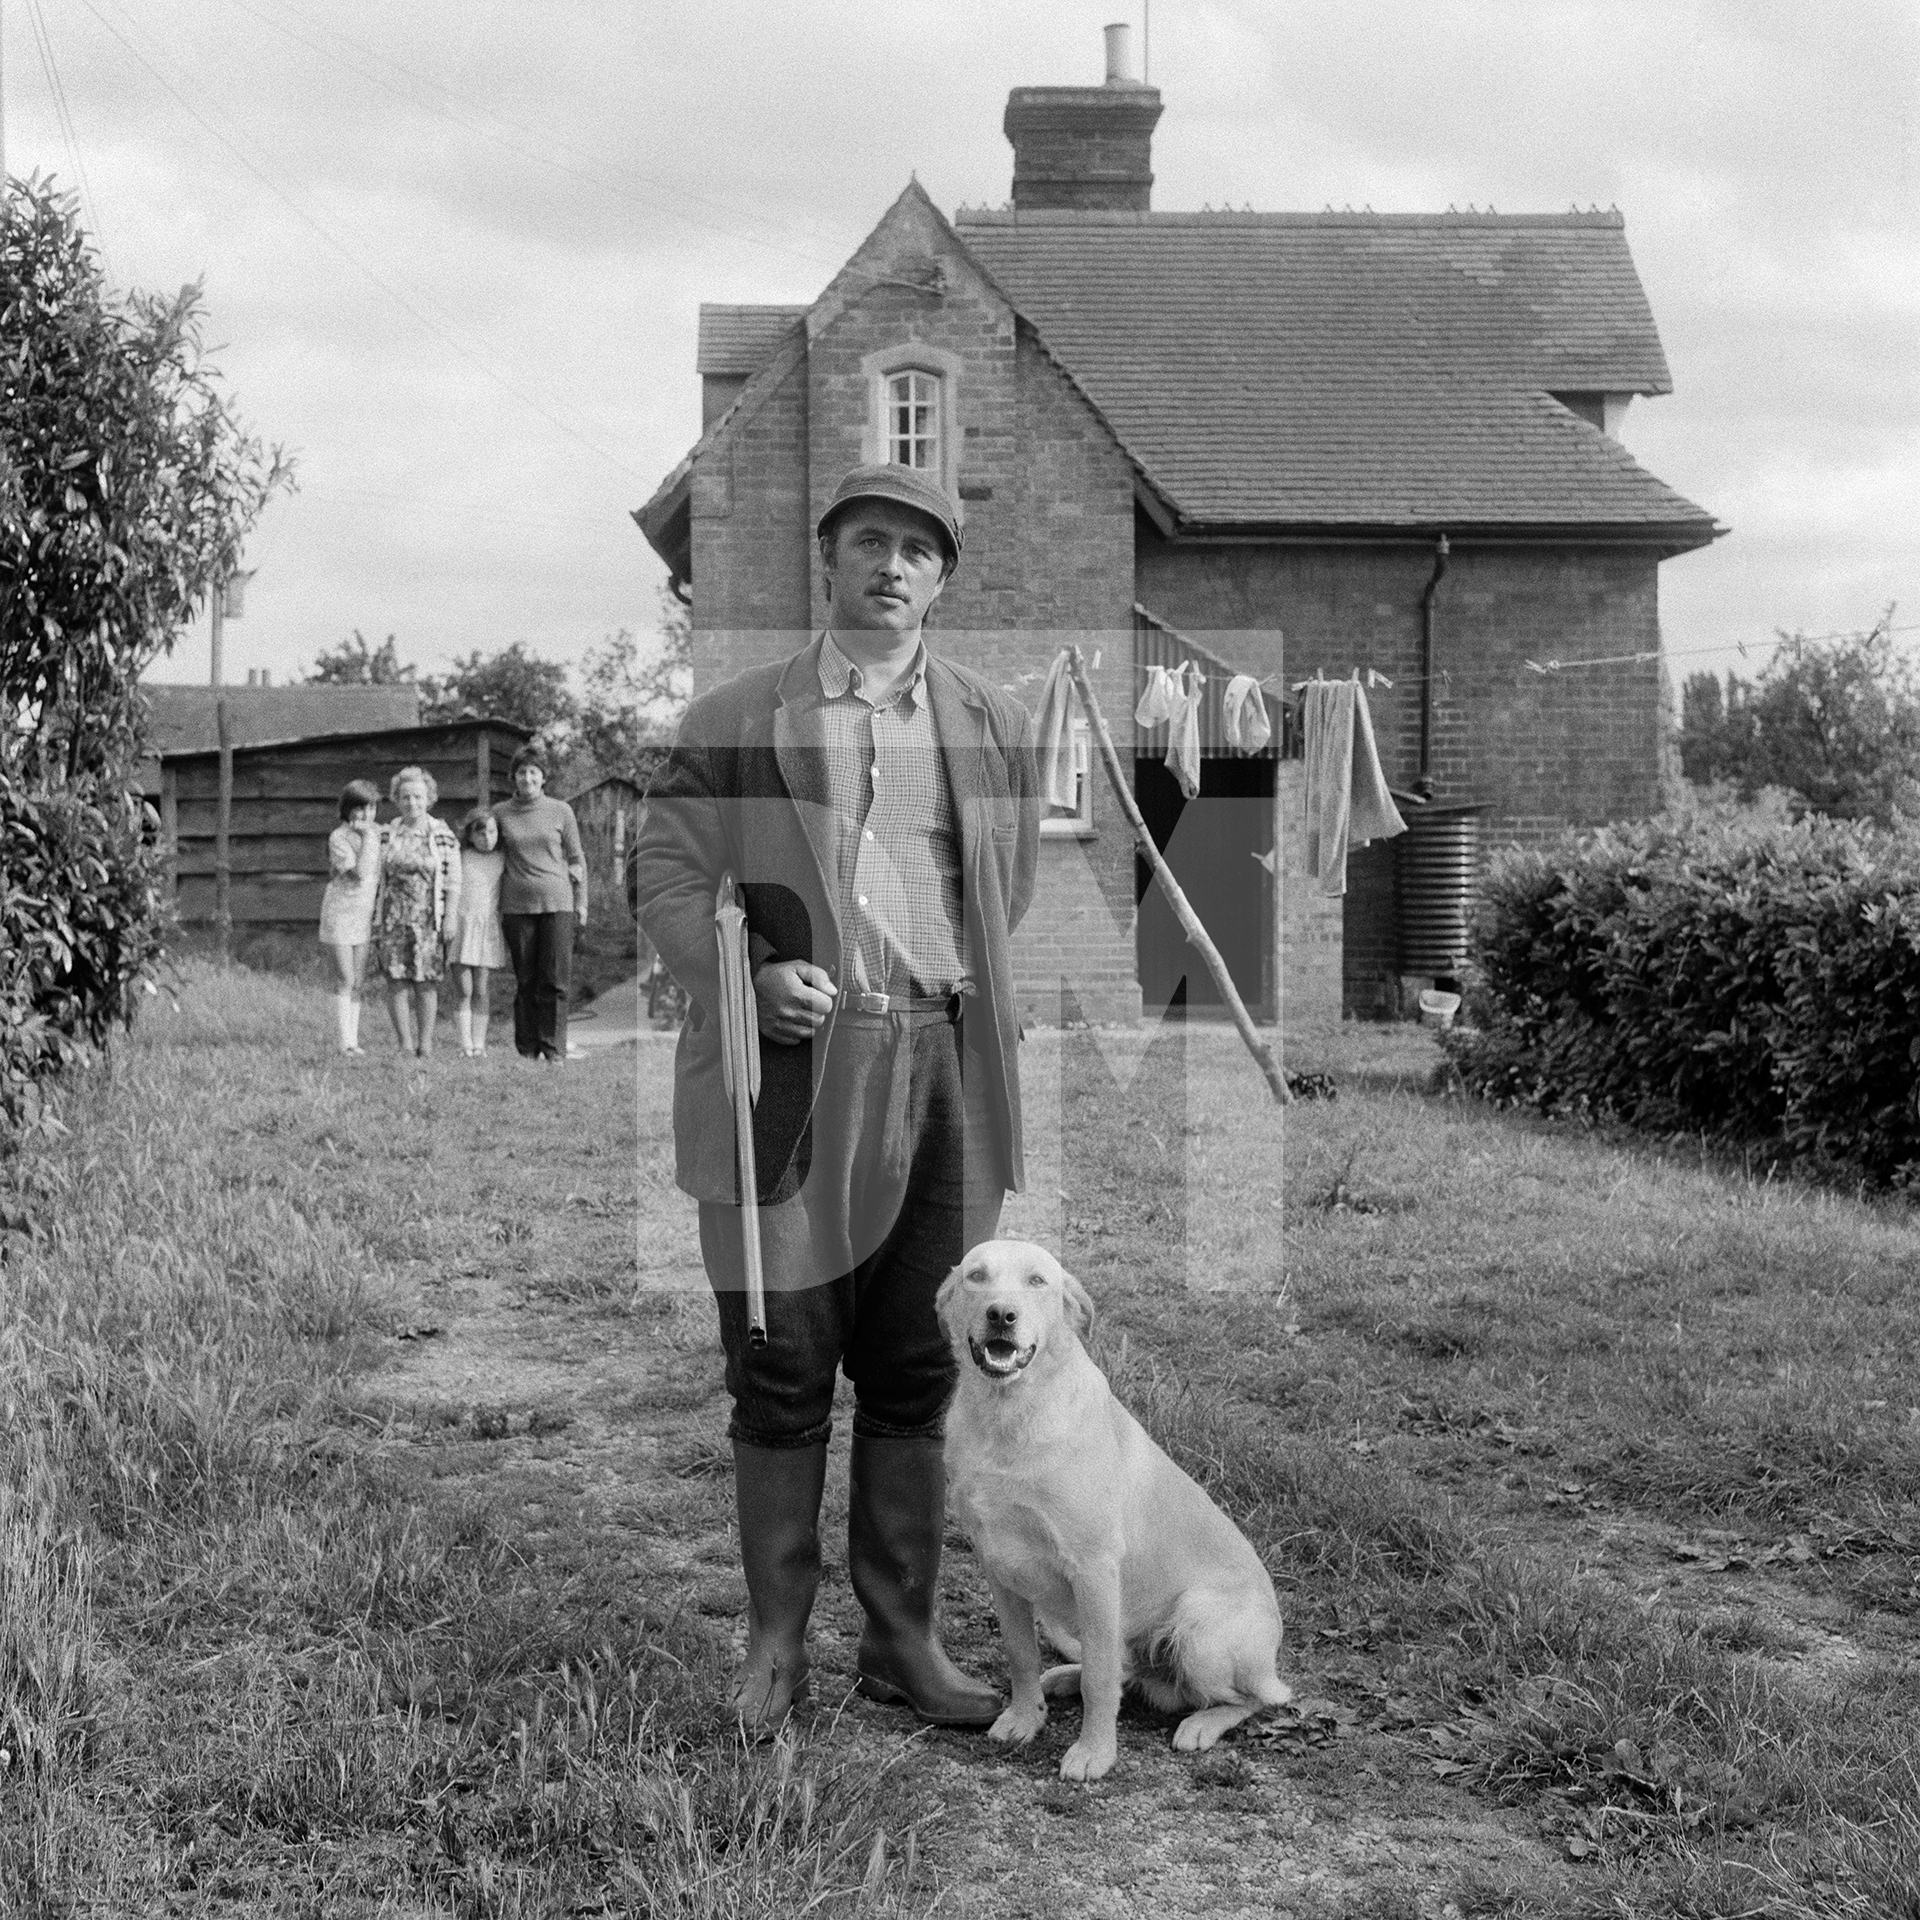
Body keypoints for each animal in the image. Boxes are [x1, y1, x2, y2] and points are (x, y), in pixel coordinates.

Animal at [933, 1236, 1290, 1774]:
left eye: (1037, 1280)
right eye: (977, 1275)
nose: (1001, 1314)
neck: (1008, 1417)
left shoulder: (1094, 1569)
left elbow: (1099, 1681)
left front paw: (1094, 1753)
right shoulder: (998, 1564)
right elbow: (1021, 1655)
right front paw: (1025, 1718)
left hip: (1197, 1628)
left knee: (1252, 1699)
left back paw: (1202, 1724)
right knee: (1124, 1669)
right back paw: (1062, 1678)